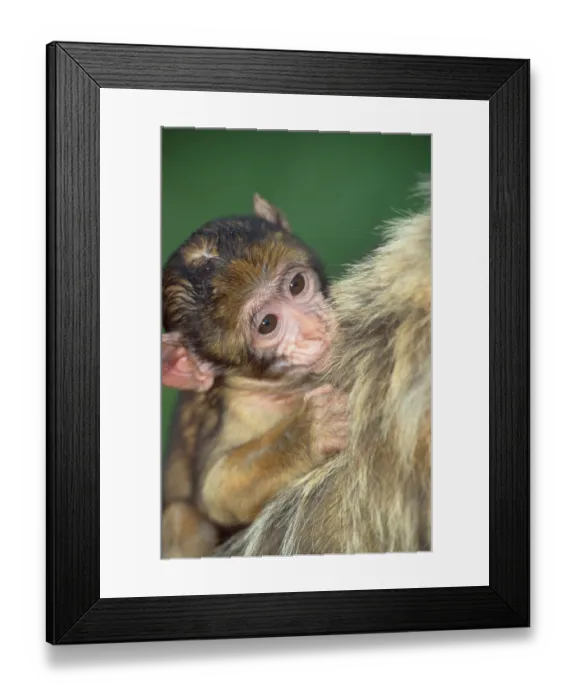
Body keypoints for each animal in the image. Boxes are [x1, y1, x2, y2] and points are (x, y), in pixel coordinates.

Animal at [160, 194, 349, 558]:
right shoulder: (244, 409)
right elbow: (216, 489)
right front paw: (309, 433)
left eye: (296, 285)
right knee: (180, 517)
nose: (312, 329)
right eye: (267, 324)